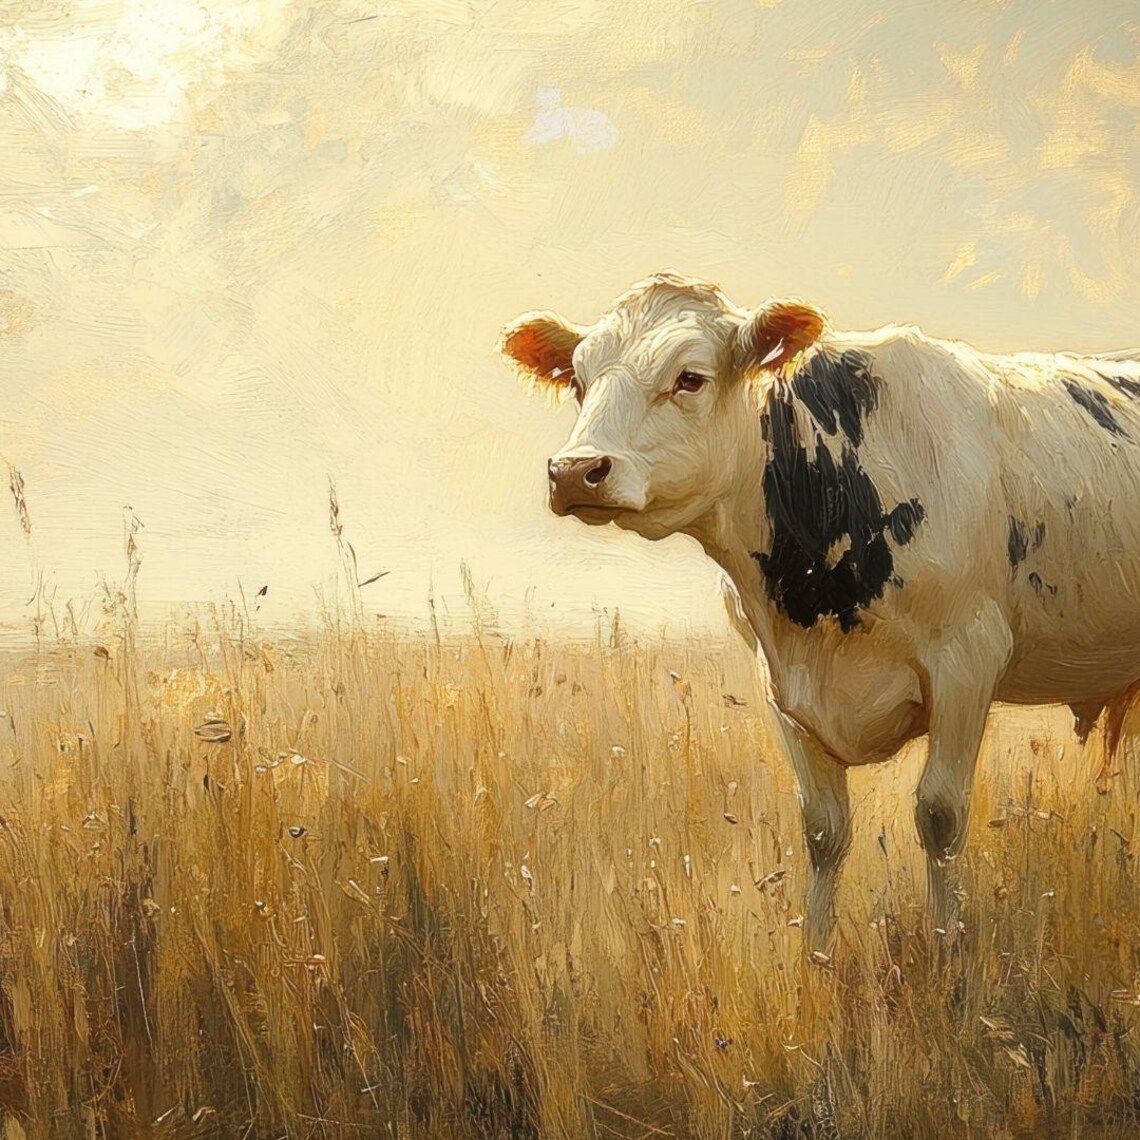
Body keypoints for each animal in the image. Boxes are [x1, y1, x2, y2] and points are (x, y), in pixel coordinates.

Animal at [499, 270, 1140, 953]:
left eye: (690, 378)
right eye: (579, 381)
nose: (575, 471)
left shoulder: (968, 657)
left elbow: (939, 815)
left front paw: (946, 947)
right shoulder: (783, 684)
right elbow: (823, 830)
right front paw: (818, 953)